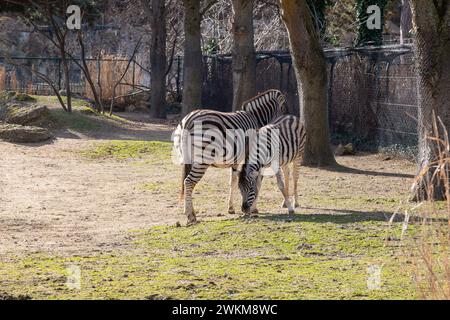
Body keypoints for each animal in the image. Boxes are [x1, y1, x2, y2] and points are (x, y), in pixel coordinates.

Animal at [172, 89, 284, 225]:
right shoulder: (254, 158)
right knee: (189, 181)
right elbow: (257, 183)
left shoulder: (236, 160)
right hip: (204, 158)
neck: (256, 119)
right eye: (282, 110)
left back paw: (188, 212)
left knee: (185, 182)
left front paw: (231, 208)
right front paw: (254, 208)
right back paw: (191, 216)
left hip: (187, 158)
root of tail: (188, 119)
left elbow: (233, 182)